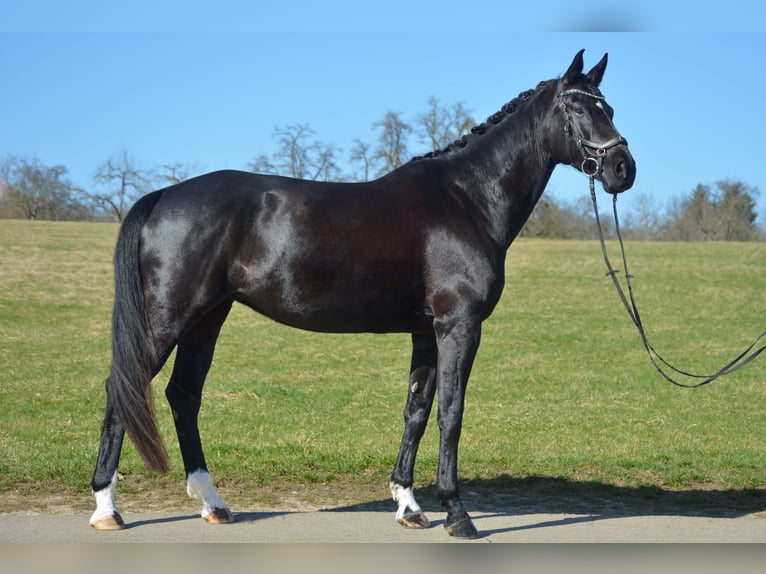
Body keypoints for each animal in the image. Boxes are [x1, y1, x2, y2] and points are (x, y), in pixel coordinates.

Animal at [89, 50, 635, 538]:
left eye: (609, 107)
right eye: (577, 108)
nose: (622, 169)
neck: (467, 199)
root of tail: (163, 195)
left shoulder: (426, 331)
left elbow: (417, 412)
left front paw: (409, 505)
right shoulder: (458, 325)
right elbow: (451, 413)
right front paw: (457, 515)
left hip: (207, 318)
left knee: (184, 396)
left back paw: (213, 504)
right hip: (169, 318)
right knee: (124, 387)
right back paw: (106, 508)